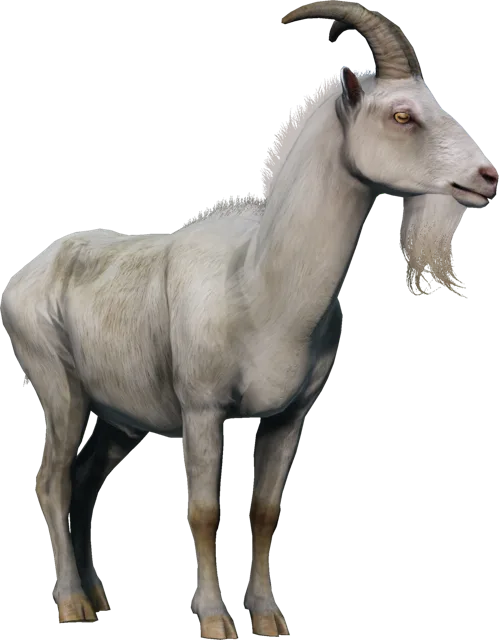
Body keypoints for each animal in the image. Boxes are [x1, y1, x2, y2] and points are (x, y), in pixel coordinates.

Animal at [1, 1, 496, 636]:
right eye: (402, 114)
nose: (487, 178)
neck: (257, 286)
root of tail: (28, 273)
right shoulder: (203, 410)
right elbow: (206, 510)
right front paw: (216, 621)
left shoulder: (289, 416)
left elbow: (263, 510)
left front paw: (267, 617)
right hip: (61, 392)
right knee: (53, 482)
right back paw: (71, 605)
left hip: (120, 418)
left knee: (86, 481)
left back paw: (97, 598)